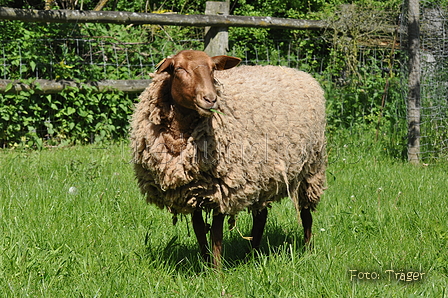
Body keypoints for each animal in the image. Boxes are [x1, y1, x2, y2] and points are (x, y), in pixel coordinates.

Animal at [130, 50, 326, 266]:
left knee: (306, 212)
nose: (210, 99)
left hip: (311, 168)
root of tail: (298, 72)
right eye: (179, 68)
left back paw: (307, 250)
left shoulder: (222, 188)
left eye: (213, 68)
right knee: (261, 215)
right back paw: (252, 253)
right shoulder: (192, 191)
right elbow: (199, 229)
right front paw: (205, 262)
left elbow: (216, 233)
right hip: (262, 176)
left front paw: (216, 269)